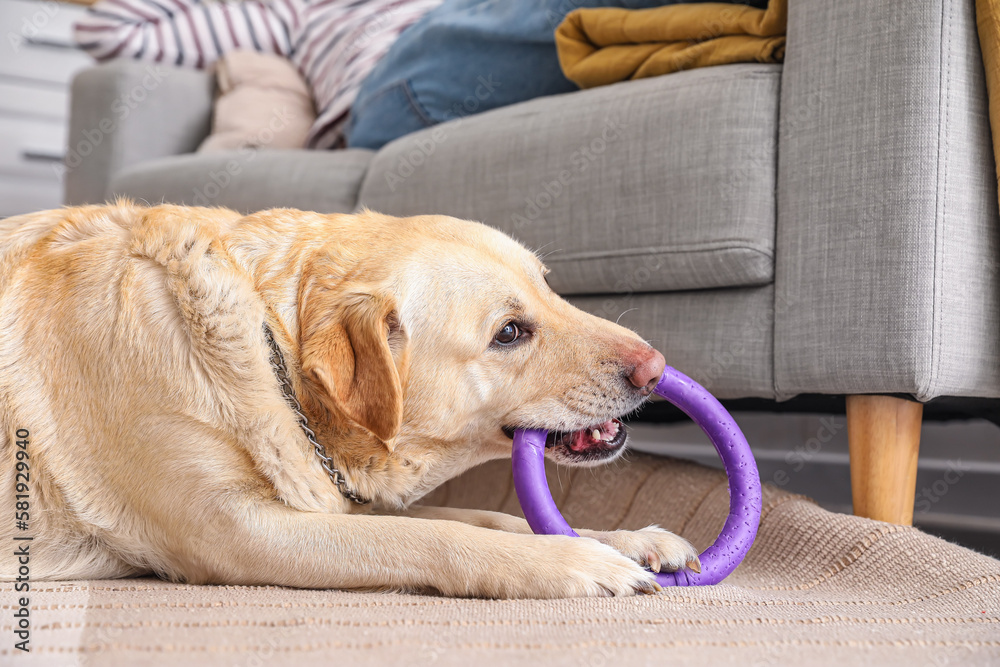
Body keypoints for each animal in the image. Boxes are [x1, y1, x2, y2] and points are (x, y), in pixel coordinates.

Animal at [0, 204, 700, 600]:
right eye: (509, 332)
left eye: (549, 287)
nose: (656, 369)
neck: (267, 337)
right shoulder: (233, 531)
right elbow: (436, 537)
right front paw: (575, 561)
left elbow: (487, 516)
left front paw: (627, 539)